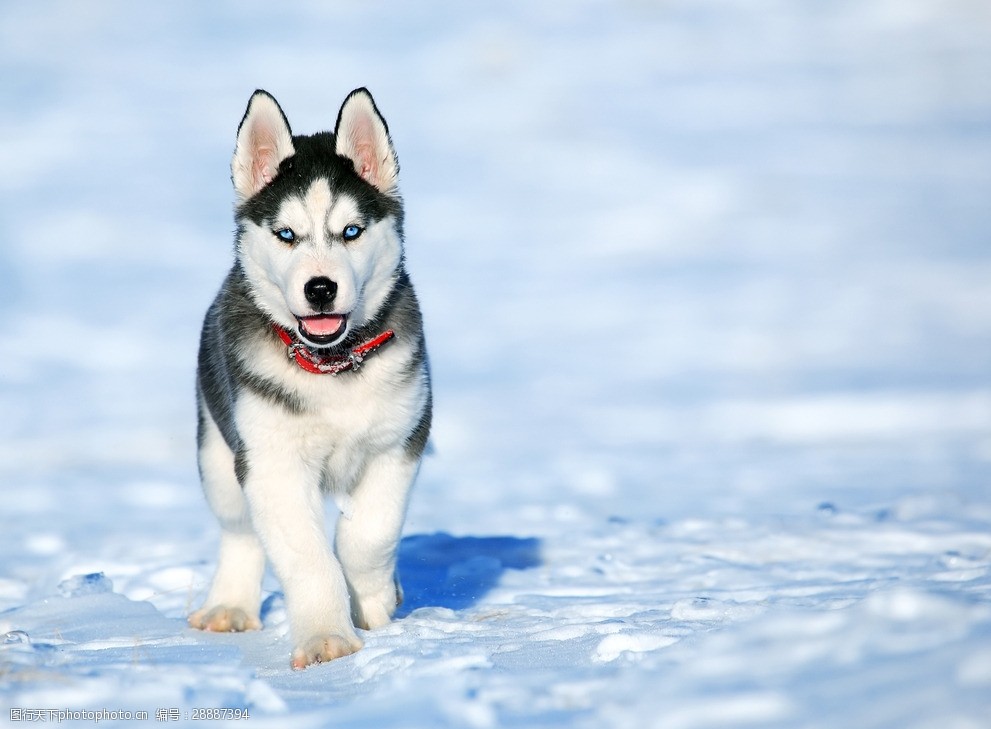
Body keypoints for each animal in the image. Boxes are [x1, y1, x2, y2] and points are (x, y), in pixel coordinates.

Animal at [190, 88, 430, 668]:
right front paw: (327, 637)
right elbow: (306, 555)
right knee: (240, 531)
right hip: (217, 452)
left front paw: (373, 600)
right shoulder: (271, 462)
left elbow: (370, 534)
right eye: (286, 235)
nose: (320, 288)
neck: (331, 365)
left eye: (351, 231)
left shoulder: (400, 441)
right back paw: (229, 606)